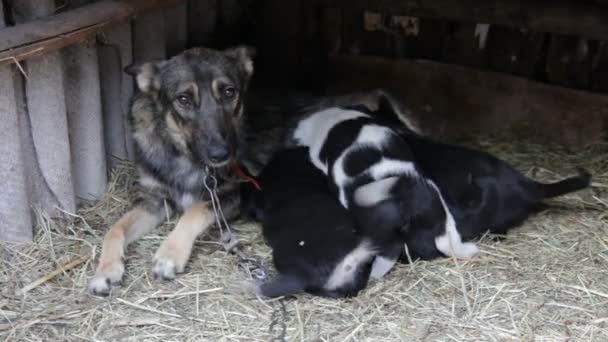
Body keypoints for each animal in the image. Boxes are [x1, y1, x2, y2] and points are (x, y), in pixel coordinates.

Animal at [290, 108, 480, 280]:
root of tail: (408, 199)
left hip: (381, 235)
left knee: (387, 255)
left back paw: (372, 275)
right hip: (440, 213)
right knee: (448, 241)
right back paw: (470, 250)